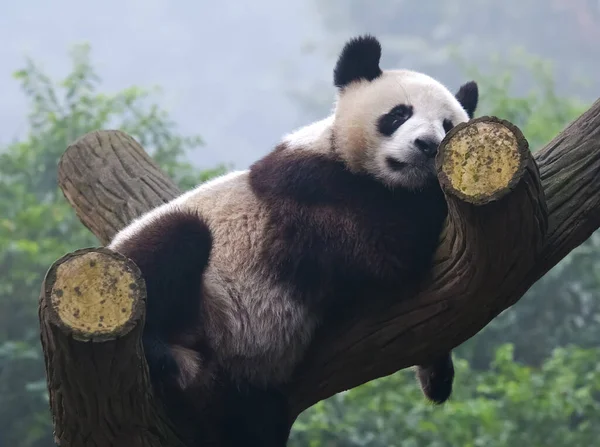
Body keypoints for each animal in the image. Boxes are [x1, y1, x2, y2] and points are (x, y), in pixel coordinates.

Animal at [109, 36, 478, 447]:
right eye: (399, 113)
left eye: (447, 126)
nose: (427, 145)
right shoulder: (307, 190)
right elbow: (381, 248)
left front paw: (437, 374)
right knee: (179, 237)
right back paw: (158, 349)